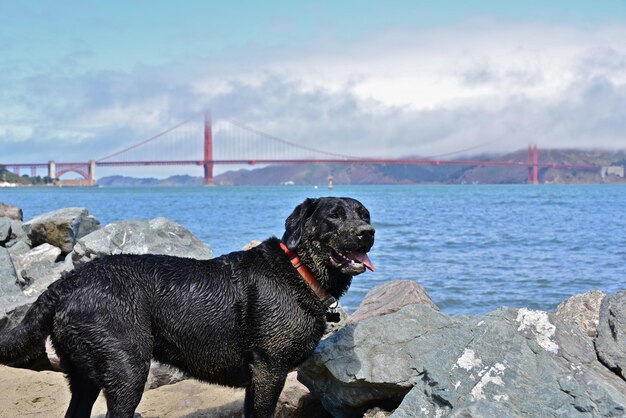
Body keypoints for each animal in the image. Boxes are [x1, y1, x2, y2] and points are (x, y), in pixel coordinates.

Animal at [0, 197, 370, 418]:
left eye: (364, 215)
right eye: (333, 217)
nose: (368, 232)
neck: (299, 270)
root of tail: (65, 282)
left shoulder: (257, 377)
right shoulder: (270, 369)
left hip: (84, 376)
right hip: (126, 369)